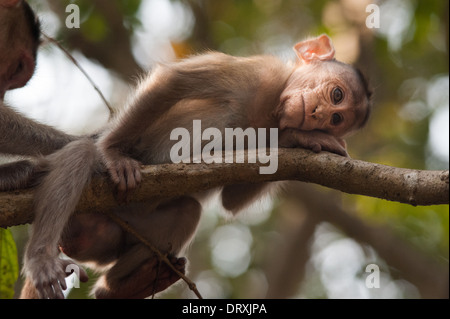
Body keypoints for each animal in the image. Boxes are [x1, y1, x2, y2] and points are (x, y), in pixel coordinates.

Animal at [3, 33, 370, 298]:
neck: (272, 108)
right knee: (79, 155)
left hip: (106, 238)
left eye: (336, 119)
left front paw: (302, 137)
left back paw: (120, 287)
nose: (319, 115)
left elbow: (232, 199)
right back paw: (42, 259)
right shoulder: (259, 73)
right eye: (336, 96)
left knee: (186, 211)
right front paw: (112, 152)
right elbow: (173, 81)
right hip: (84, 214)